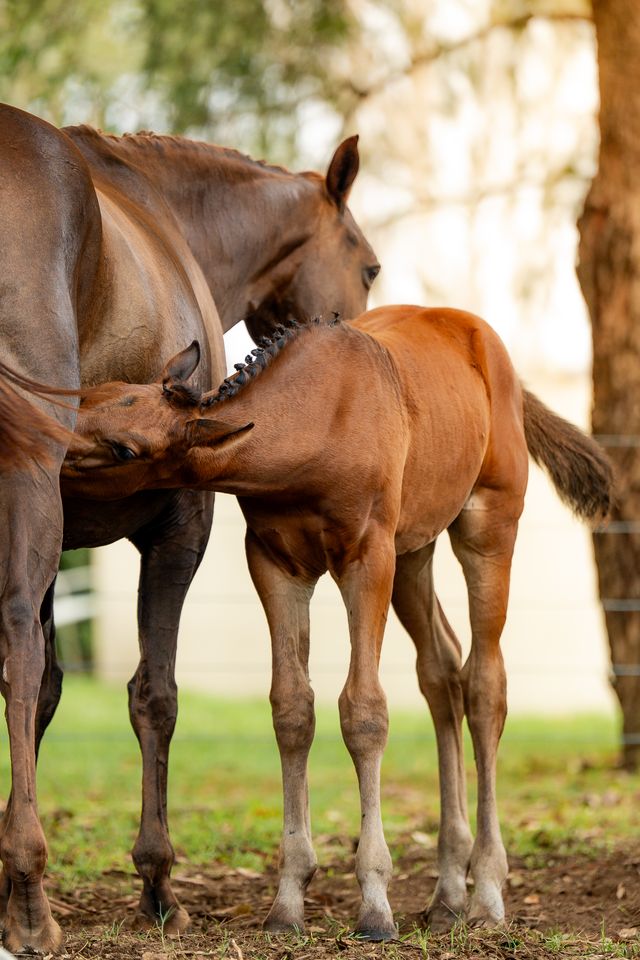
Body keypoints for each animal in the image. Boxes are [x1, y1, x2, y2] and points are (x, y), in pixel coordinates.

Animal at [0, 102, 378, 953]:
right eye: (370, 268)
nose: (361, 347)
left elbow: (48, 694)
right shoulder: (180, 531)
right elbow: (153, 694)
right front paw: (155, 879)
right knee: (17, 650)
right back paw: (35, 900)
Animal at [61, 306, 613, 940]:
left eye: (124, 449)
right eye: (96, 394)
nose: (47, 439)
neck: (316, 423)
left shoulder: (368, 557)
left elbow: (364, 711)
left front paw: (374, 903)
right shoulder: (275, 562)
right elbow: (292, 709)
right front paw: (287, 901)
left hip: (487, 524)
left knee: (484, 683)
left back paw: (487, 894)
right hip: (414, 550)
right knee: (441, 672)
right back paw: (448, 893)